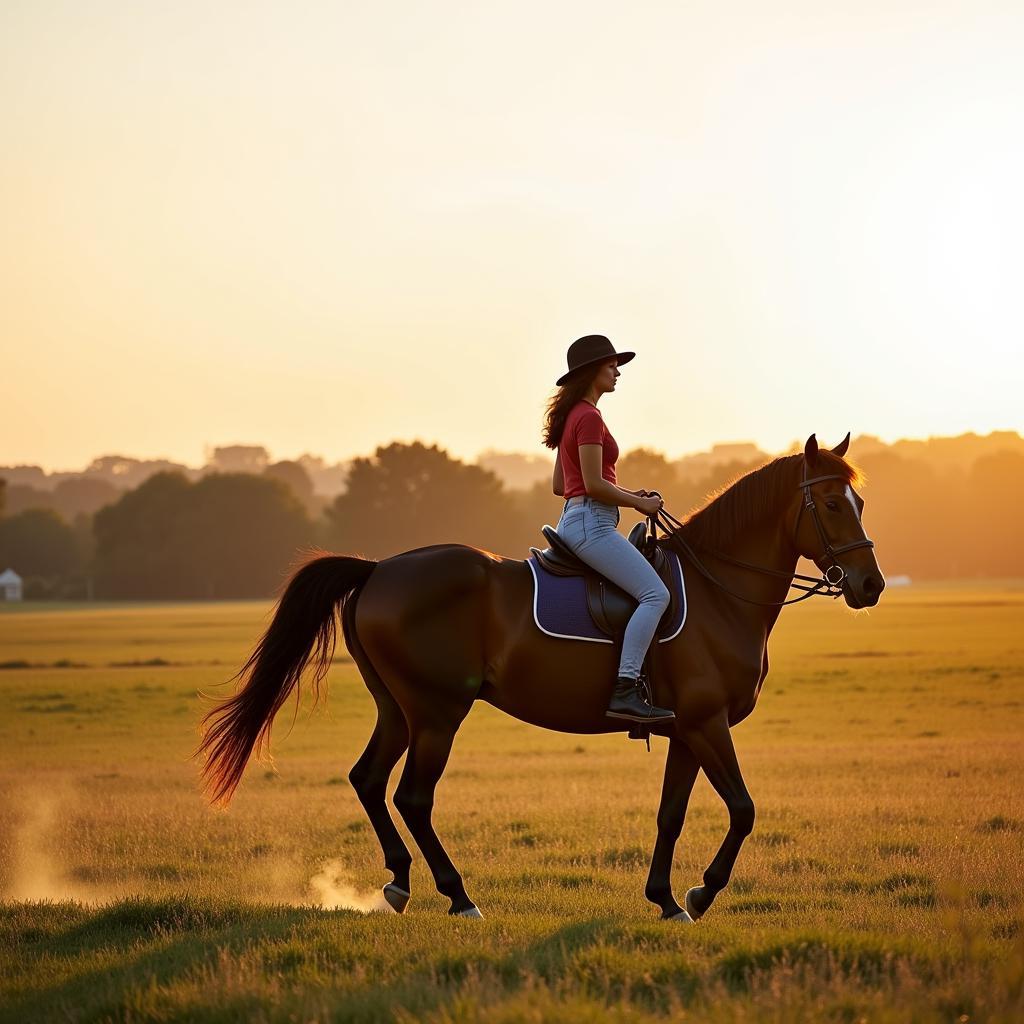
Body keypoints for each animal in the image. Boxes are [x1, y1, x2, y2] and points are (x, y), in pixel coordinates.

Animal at [195, 430, 884, 921]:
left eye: (861, 501)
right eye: (830, 503)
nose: (870, 585)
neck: (720, 592)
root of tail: (378, 569)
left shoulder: (687, 730)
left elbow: (671, 814)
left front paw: (664, 899)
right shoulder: (708, 723)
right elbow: (742, 810)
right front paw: (701, 894)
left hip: (398, 710)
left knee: (367, 779)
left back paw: (399, 883)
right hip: (437, 713)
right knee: (412, 796)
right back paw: (458, 896)